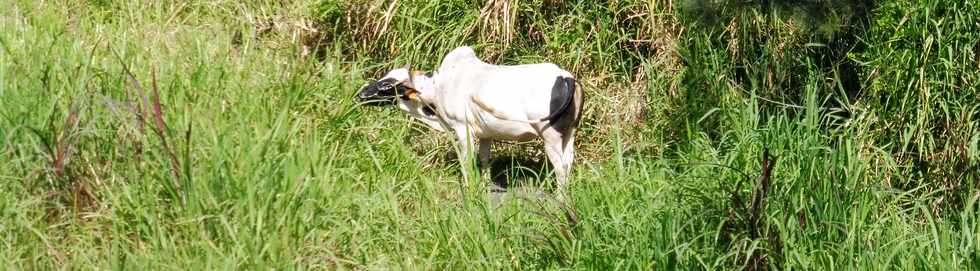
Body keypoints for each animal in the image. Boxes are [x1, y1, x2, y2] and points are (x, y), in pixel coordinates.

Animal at [358, 46, 580, 196]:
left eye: (388, 86)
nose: (361, 94)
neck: (438, 87)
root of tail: (564, 75)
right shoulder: (486, 134)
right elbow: (484, 159)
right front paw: (483, 185)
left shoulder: (462, 129)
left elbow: (466, 161)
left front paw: (468, 188)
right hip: (570, 133)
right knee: (568, 162)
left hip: (550, 137)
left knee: (560, 167)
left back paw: (560, 198)